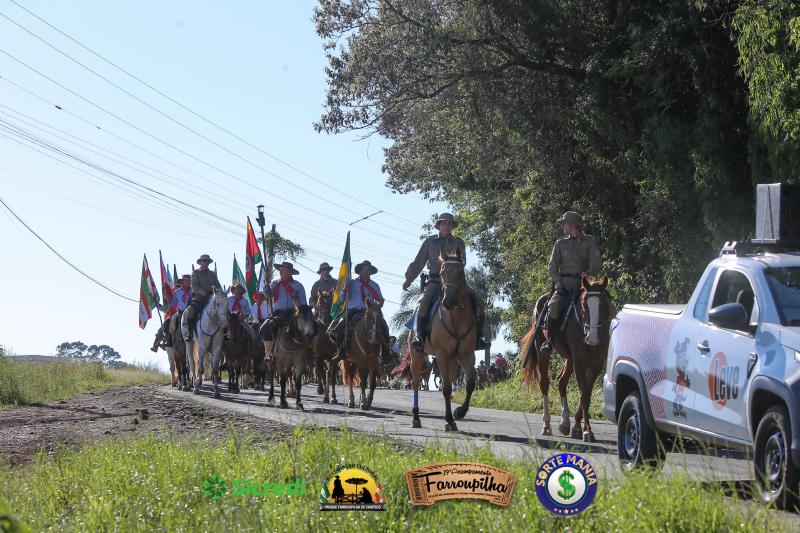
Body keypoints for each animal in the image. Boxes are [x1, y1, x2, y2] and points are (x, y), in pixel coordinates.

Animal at [409, 248, 477, 431]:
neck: (456, 317)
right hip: (416, 355)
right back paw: (416, 417)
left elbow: (469, 384)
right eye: (441, 273)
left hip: (453, 361)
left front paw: (459, 412)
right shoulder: (442, 356)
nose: (448, 301)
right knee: (416, 383)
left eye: (460, 273)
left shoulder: (467, 355)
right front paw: (449, 420)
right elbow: (446, 388)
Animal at [520, 276, 614, 442]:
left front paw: (579, 428)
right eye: (584, 305)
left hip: (569, 359)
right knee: (544, 383)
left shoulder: (596, 364)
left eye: (603, 305)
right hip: (542, 351)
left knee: (561, 381)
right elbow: (584, 395)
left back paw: (565, 423)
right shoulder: (580, 362)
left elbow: (587, 394)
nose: (592, 338)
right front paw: (586, 431)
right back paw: (547, 425)